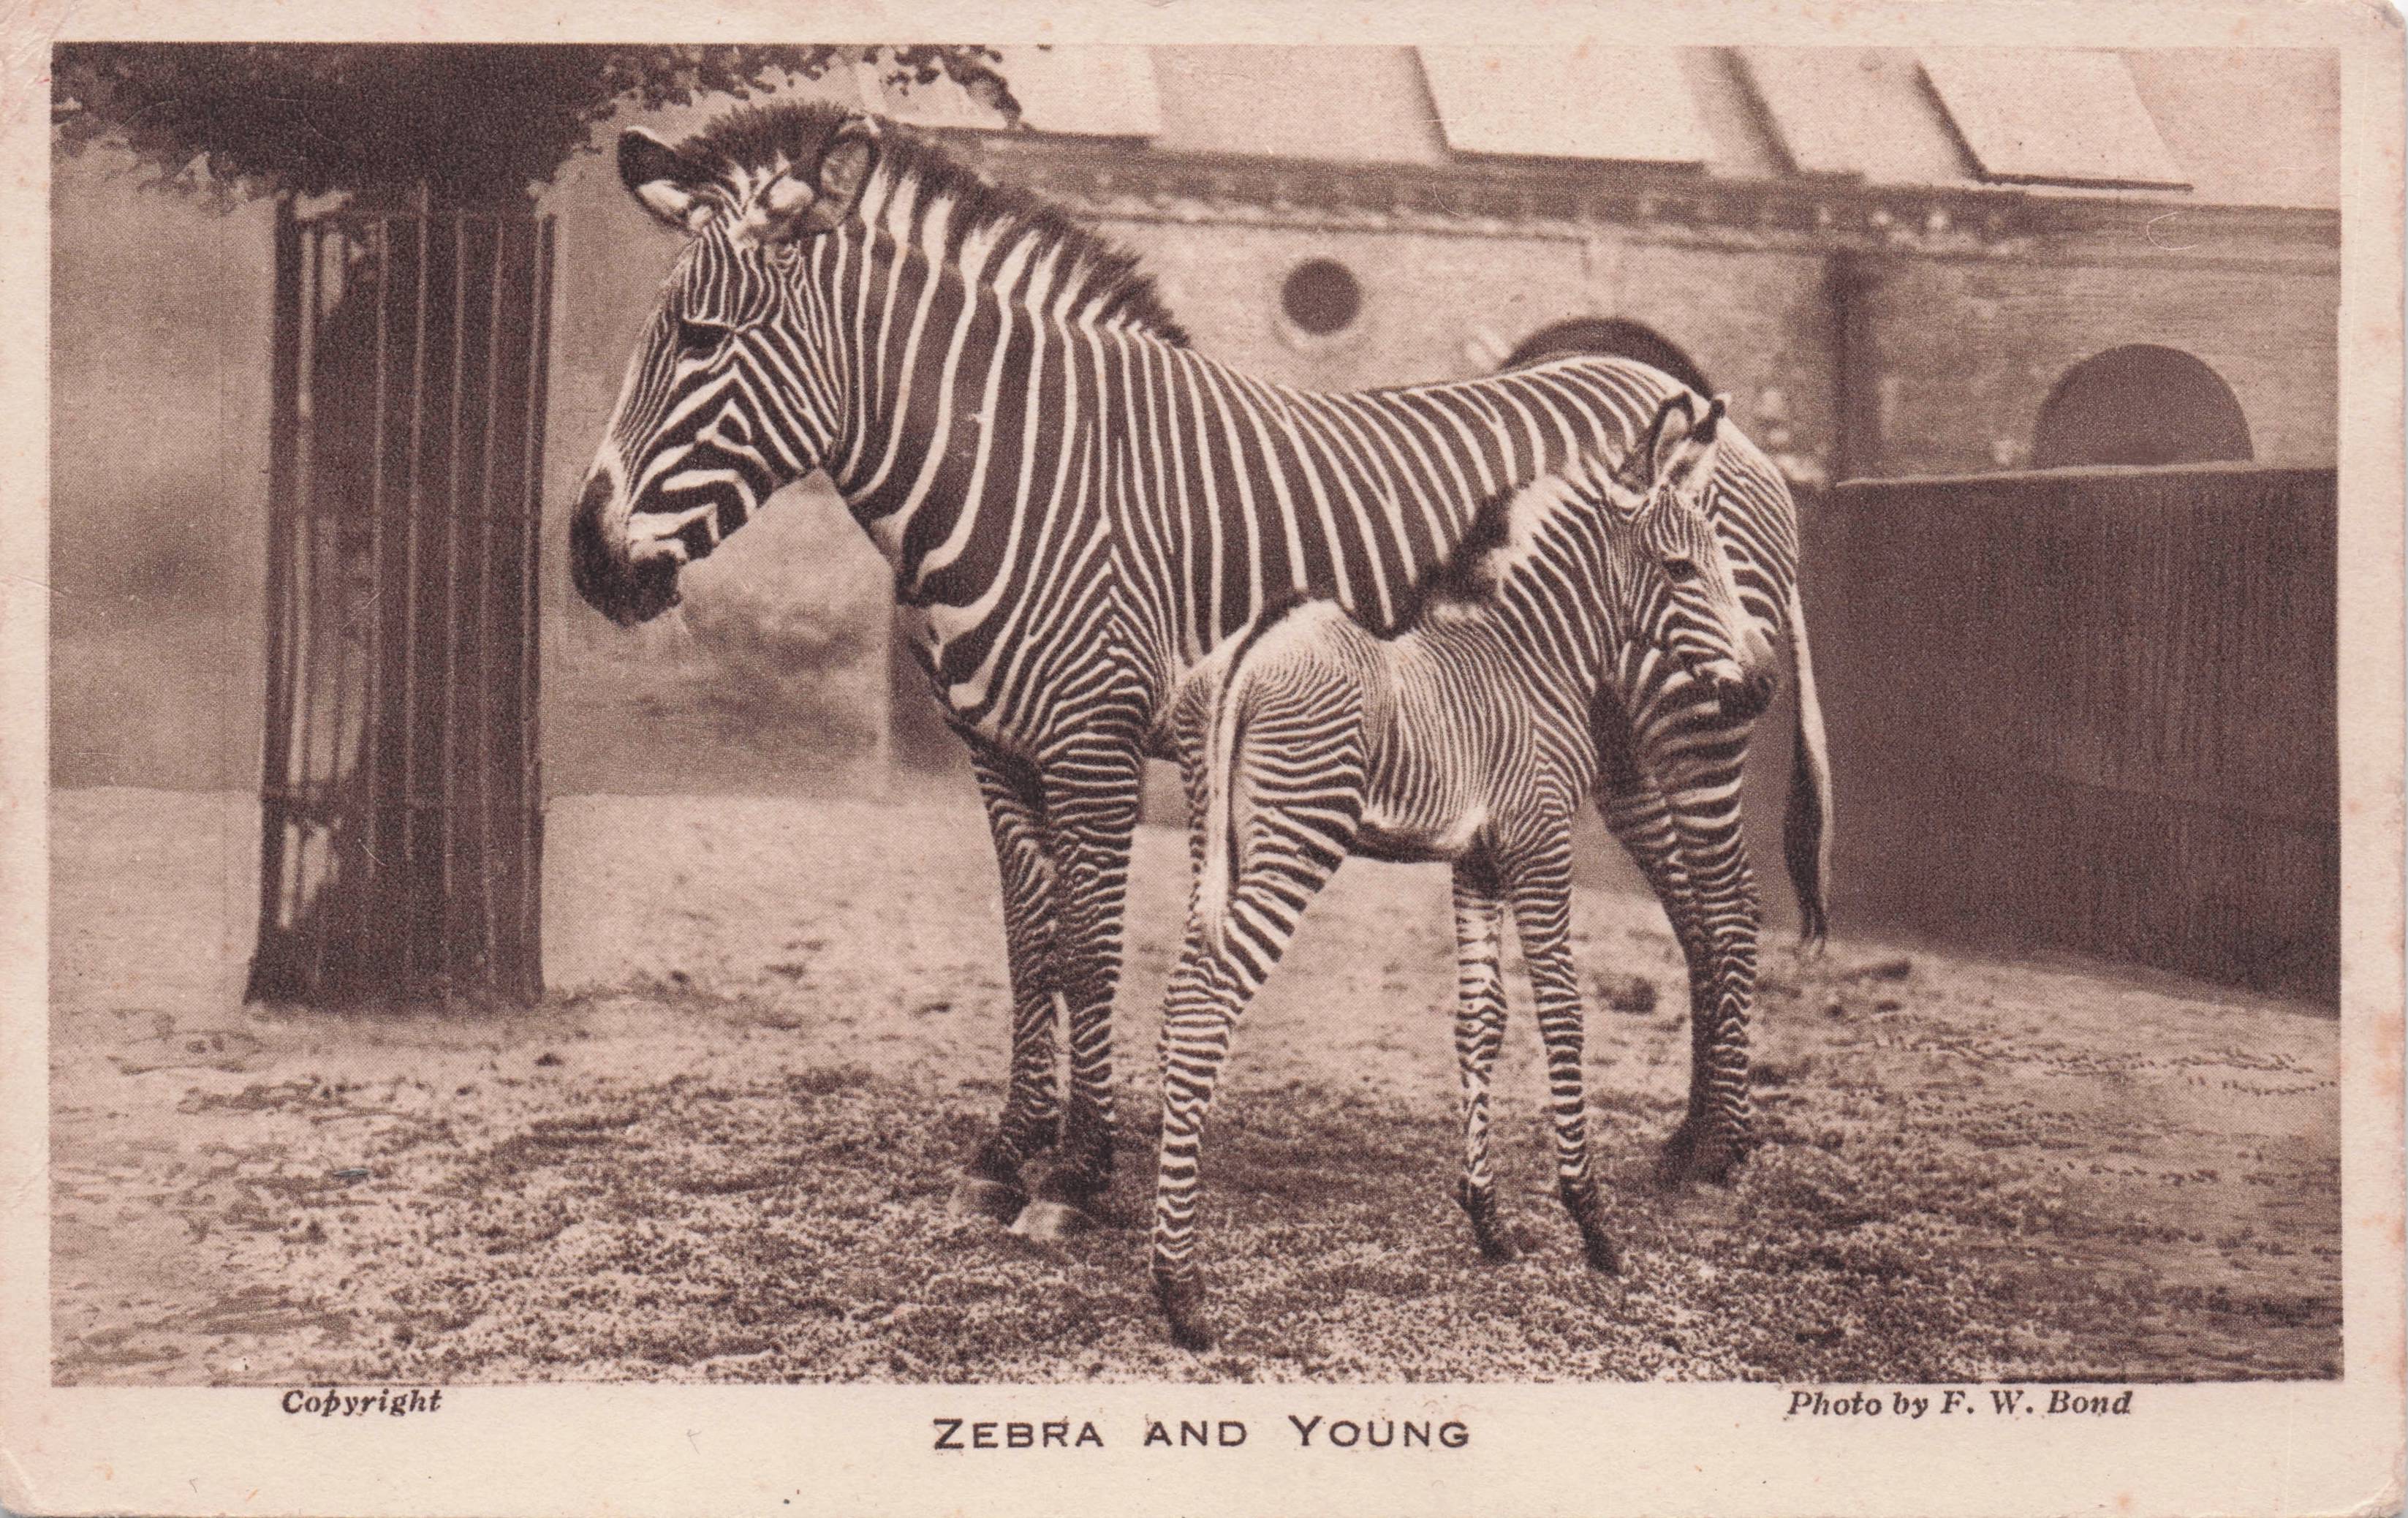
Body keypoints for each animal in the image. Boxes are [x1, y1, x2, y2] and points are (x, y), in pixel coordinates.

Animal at [566, 101, 1827, 1241]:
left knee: (1729, 903)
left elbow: (1088, 948)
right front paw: (1003, 1154)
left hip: (1691, 712)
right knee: (1690, 905)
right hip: (1608, 734)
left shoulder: (1092, 743)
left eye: (701, 340)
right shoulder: (995, 751)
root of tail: (1708, 418)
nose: (587, 560)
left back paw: (1718, 1155)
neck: (1022, 469)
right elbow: (1029, 950)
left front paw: (1075, 1176)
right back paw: (1687, 1139)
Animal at [1148, 391, 1829, 1350]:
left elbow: (1481, 1020)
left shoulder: (1477, 857)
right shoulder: (1541, 846)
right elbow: (1564, 1018)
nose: (1764, 685)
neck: (1526, 658)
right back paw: (1181, 1290)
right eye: (1679, 569)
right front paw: (1592, 1220)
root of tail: (1254, 645)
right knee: (1209, 1004)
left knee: (1182, 1003)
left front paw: (1489, 1220)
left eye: (1721, 565)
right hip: (1297, 842)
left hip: (1218, 843)